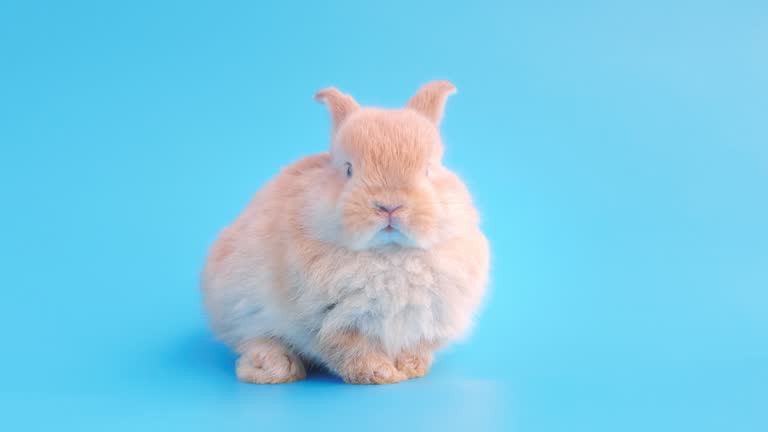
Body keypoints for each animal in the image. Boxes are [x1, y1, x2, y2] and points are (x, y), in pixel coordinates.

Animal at [201, 81, 488, 384]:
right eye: (348, 169)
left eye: (429, 170)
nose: (389, 205)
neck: (389, 254)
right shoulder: (333, 322)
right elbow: (353, 350)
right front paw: (381, 374)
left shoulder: (426, 320)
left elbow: (414, 348)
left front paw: (412, 369)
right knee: (253, 340)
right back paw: (273, 366)